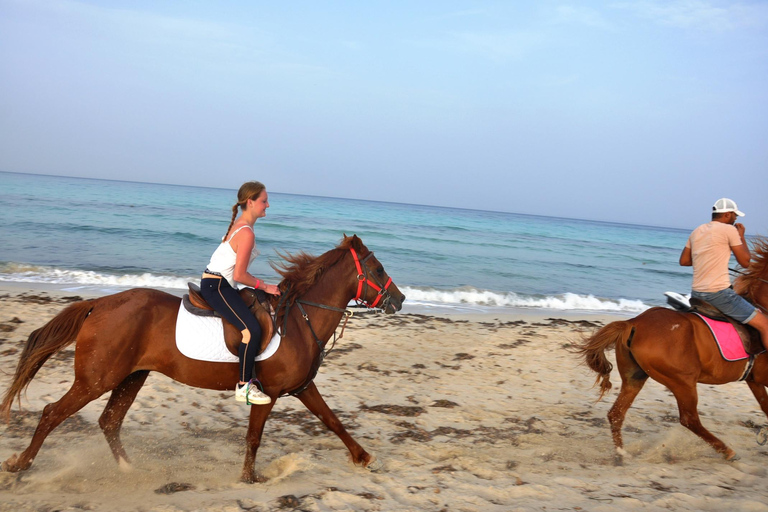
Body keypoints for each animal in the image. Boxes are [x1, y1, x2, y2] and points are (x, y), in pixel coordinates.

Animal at [0, 234, 404, 482]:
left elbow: (333, 421)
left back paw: (130, 470)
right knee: (52, 413)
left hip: (131, 377)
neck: (298, 321)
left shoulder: (303, 387)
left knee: (109, 421)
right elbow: (254, 437)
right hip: (96, 380)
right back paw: (21, 463)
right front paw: (248, 478)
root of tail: (99, 304)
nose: (399, 300)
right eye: (378, 269)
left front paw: (363, 457)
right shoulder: (269, 392)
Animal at [576, 238, 768, 462]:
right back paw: (727, 451)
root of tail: (633, 322)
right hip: (682, 382)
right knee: (689, 419)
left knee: (616, 414)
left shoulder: (754, 380)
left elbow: (765, 406)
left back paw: (622, 453)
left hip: (635, 377)